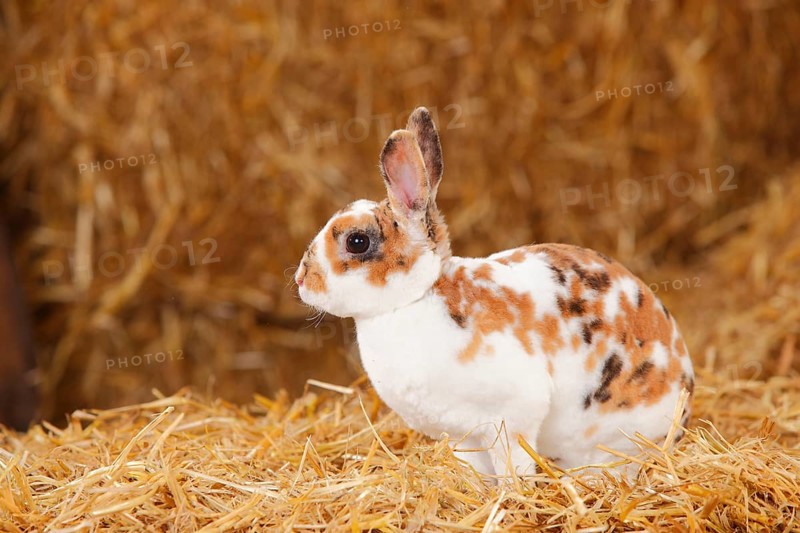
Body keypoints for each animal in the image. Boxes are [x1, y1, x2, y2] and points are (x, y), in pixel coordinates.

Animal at [295, 107, 695, 479]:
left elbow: (512, 463)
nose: (301, 279)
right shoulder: (464, 436)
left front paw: (510, 494)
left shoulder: (511, 418)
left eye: (357, 241)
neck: (415, 299)